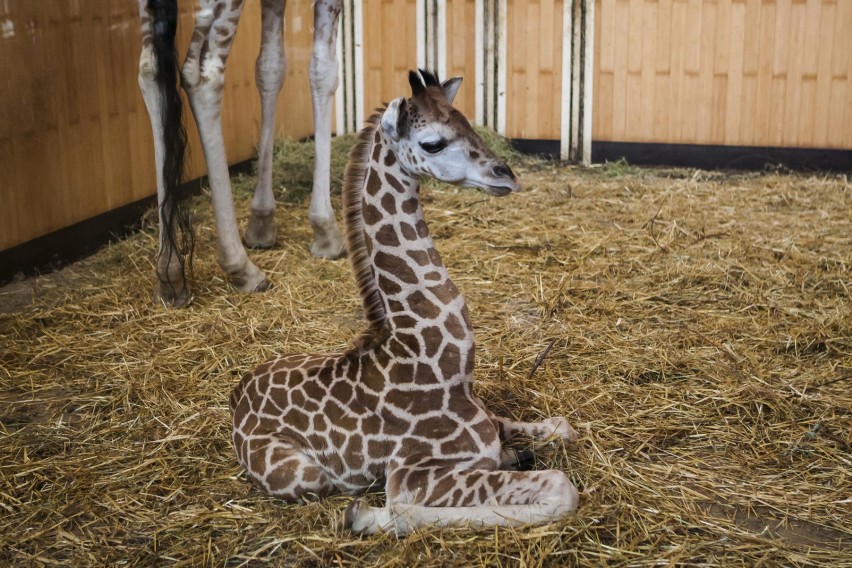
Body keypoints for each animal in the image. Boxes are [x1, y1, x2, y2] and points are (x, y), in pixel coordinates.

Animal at [230, 69, 584, 536]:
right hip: (302, 475)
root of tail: (235, 395)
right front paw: (367, 515)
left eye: (469, 123)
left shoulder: (491, 424)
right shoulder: (412, 473)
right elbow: (560, 487)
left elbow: (562, 427)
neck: (438, 362)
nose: (506, 174)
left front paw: (519, 451)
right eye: (433, 142)